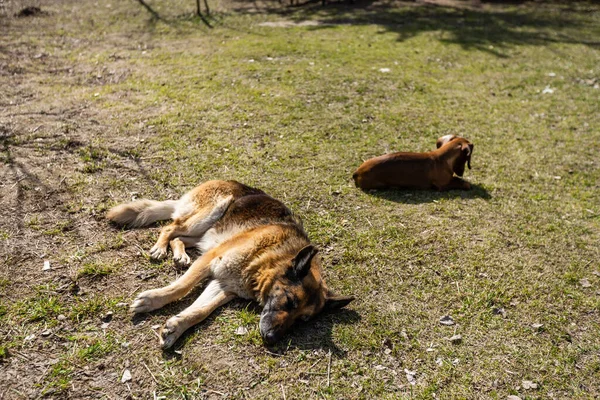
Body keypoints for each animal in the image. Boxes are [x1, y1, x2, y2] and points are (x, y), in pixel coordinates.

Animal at [107, 180, 354, 348]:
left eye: (303, 320)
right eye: (289, 301)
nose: (272, 339)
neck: (266, 261)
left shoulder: (224, 285)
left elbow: (201, 311)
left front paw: (175, 328)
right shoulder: (211, 261)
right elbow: (181, 287)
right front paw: (152, 300)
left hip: (203, 234)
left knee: (179, 237)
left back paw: (180, 255)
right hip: (209, 214)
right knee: (169, 228)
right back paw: (160, 248)